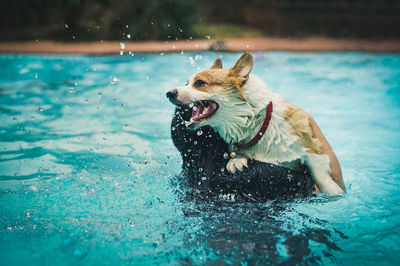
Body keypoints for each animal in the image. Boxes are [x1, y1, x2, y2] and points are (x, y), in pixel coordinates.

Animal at [167, 52, 346, 194]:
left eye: (200, 83)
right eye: (186, 83)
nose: (169, 93)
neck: (257, 128)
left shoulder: (309, 143)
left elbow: (320, 174)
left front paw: (334, 192)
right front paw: (237, 160)